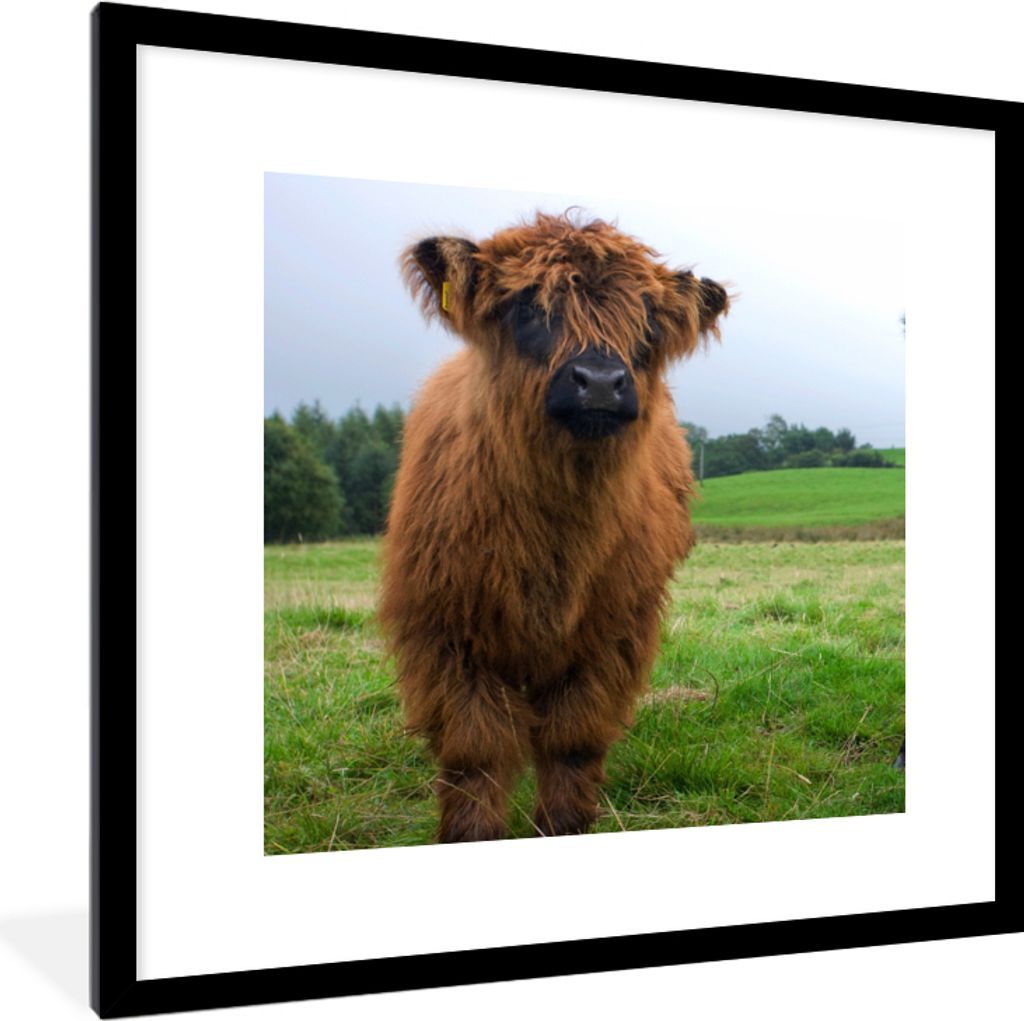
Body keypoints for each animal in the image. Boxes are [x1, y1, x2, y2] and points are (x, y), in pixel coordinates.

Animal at [379, 211, 730, 842]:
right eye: (525, 307)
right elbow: (475, 752)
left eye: (647, 320)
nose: (601, 381)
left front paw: (562, 823)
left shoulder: (611, 635)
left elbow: (573, 741)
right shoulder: (445, 633)